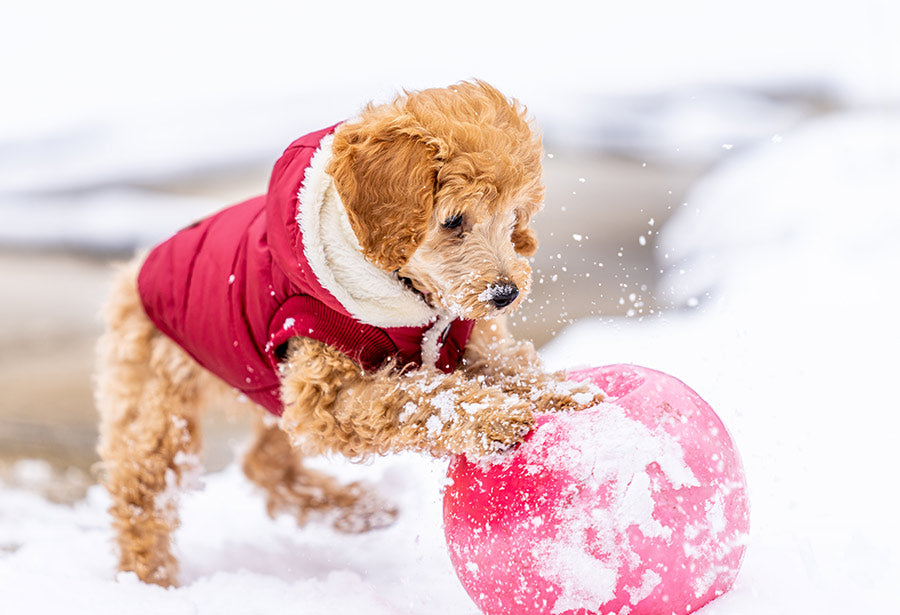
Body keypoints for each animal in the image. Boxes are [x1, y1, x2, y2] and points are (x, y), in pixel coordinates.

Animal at [95, 82, 600, 588]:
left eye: (514, 218)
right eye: (454, 220)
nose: (505, 294)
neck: (411, 297)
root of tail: (136, 270)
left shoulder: (470, 343)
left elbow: (511, 367)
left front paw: (565, 393)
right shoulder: (327, 394)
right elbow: (418, 397)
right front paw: (493, 416)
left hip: (269, 389)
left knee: (265, 462)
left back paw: (356, 510)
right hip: (159, 403)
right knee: (142, 493)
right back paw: (149, 580)